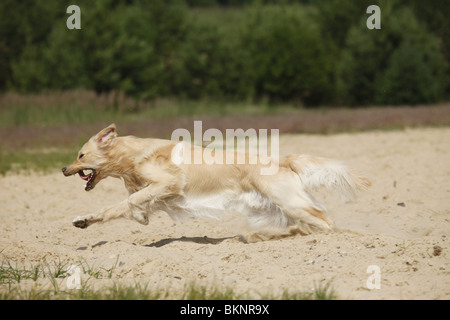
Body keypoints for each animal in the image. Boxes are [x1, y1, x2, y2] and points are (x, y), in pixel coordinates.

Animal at [61, 124, 370, 240]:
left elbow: (130, 200)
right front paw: (83, 220)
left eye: (81, 155)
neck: (132, 157)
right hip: (288, 205)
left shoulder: (169, 183)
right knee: (313, 220)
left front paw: (139, 216)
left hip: (291, 202)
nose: (64, 168)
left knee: (327, 222)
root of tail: (282, 160)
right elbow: (115, 208)